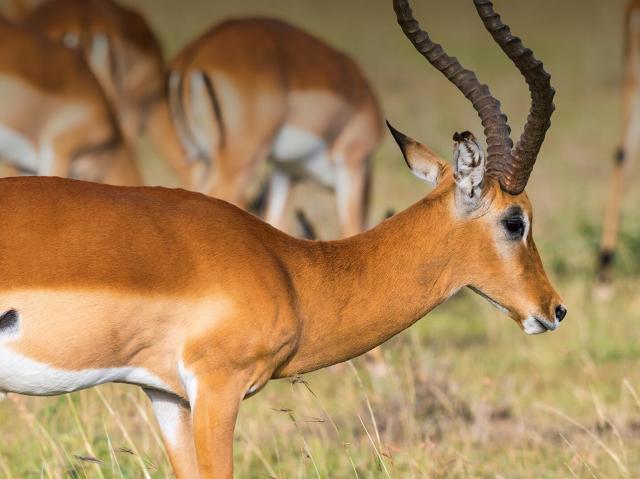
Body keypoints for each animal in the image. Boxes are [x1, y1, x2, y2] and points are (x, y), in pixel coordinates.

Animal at [167, 17, 382, 237]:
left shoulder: (284, 169)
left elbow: (277, 221)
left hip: (200, 159)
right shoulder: (353, 162)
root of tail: (197, 51)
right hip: (241, 161)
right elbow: (351, 228)